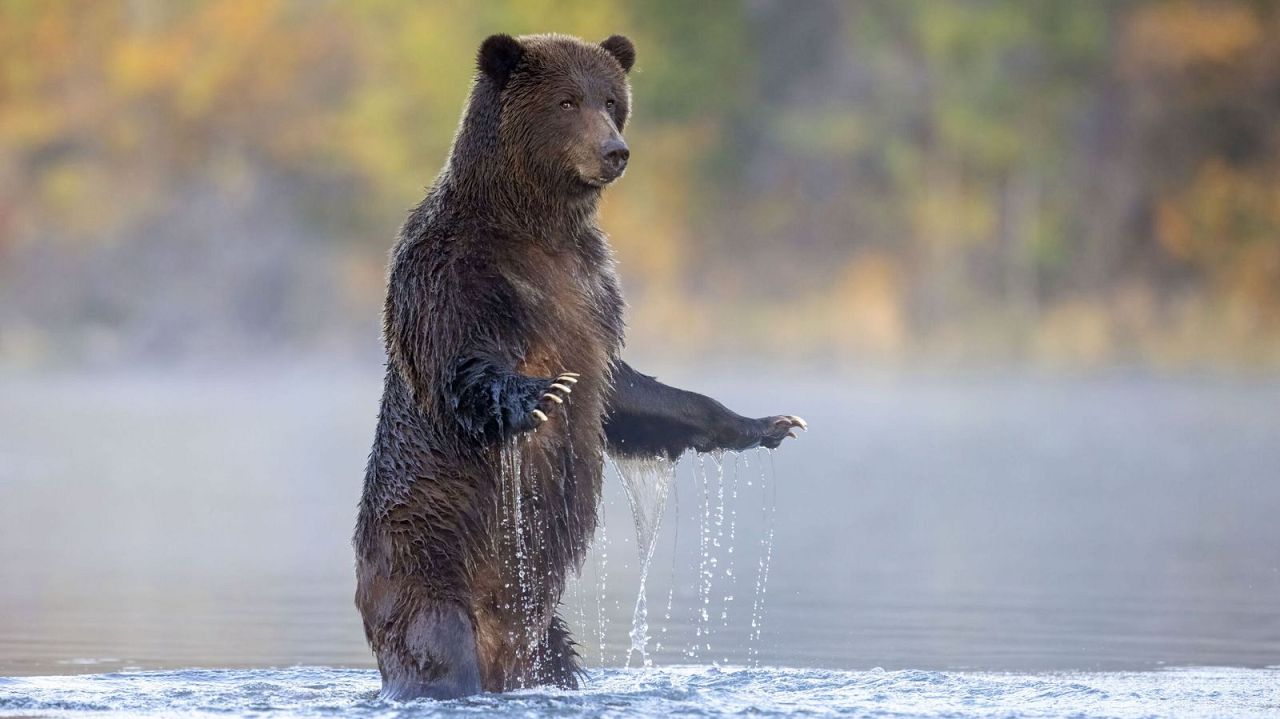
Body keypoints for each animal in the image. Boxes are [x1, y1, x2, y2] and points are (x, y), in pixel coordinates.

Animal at [355, 33, 803, 701]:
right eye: (567, 101)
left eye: (611, 100)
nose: (614, 151)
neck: (534, 227)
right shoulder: (452, 272)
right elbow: (461, 364)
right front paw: (540, 395)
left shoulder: (592, 294)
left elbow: (628, 393)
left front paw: (769, 423)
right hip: (426, 565)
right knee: (436, 648)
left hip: (544, 634)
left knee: (556, 658)